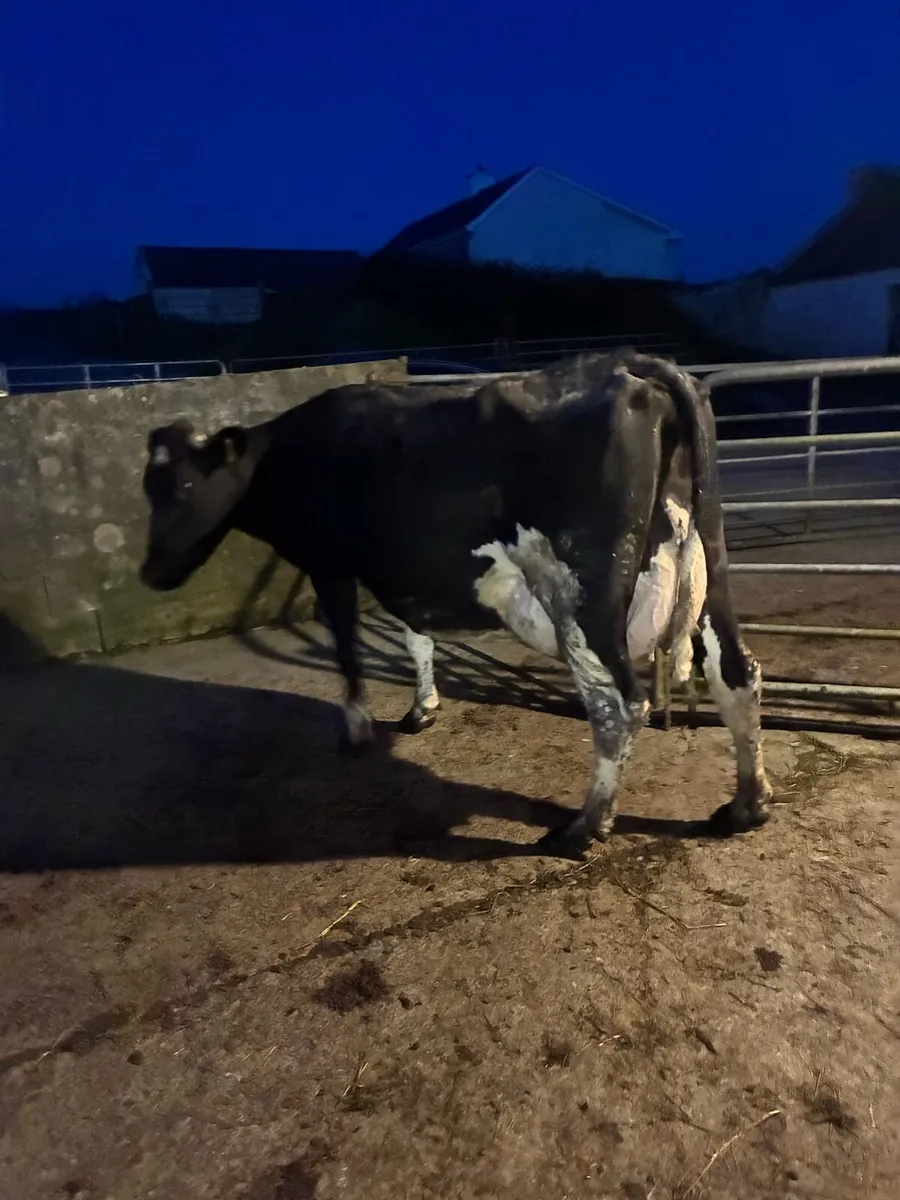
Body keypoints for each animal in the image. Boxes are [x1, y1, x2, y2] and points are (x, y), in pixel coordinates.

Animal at [138, 352, 773, 854]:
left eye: (184, 486)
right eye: (148, 487)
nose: (149, 572)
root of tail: (629, 364)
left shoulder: (330, 564)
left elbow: (346, 646)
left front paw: (357, 727)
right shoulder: (402, 572)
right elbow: (415, 634)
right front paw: (423, 707)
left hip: (579, 592)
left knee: (618, 704)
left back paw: (583, 827)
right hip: (707, 566)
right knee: (735, 672)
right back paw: (746, 806)